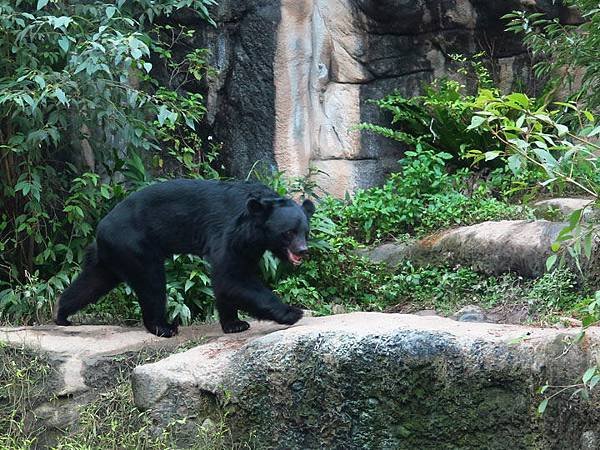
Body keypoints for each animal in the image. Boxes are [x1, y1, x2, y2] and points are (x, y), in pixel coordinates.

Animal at [54, 179, 316, 338]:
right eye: (288, 232)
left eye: (305, 232)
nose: (302, 250)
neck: (254, 225)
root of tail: (101, 229)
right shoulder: (228, 232)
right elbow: (232, 277)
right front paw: (292, 312)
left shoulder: (249, 245)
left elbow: (230, 280)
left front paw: (235, 324)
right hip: (134, 244)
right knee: (152, 284)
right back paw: (164, 327)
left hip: (112, 256)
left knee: (92, 282)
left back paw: (62, 314)